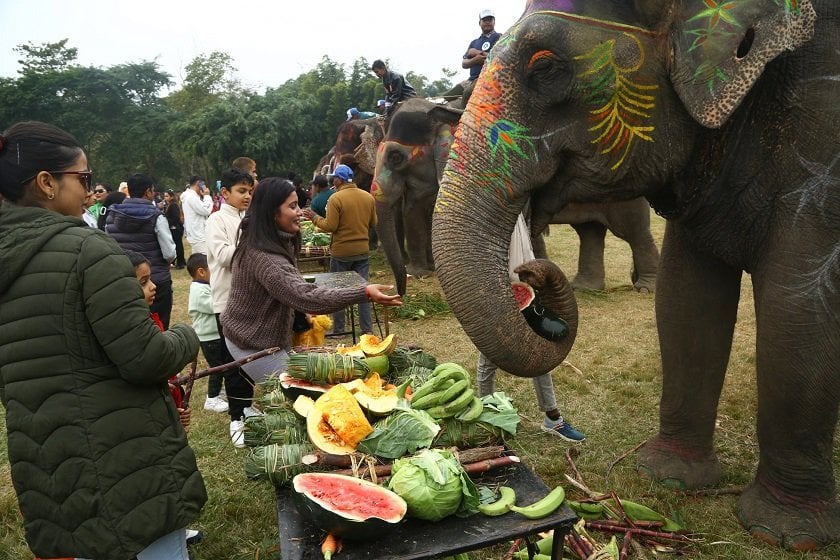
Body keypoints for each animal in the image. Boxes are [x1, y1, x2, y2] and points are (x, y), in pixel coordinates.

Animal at [370, 98, 660, 296]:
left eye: (396, 157)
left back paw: (645, 288)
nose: (400, 292)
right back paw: (584, 288)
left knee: (633, 231)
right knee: (590, 232)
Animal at [430, 0, 836, 552]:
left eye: (545, 68)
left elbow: (799, 308)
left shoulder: (821, 149)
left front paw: (785, 535)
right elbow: (687, 297)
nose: (529, 270)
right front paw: (668, 479)